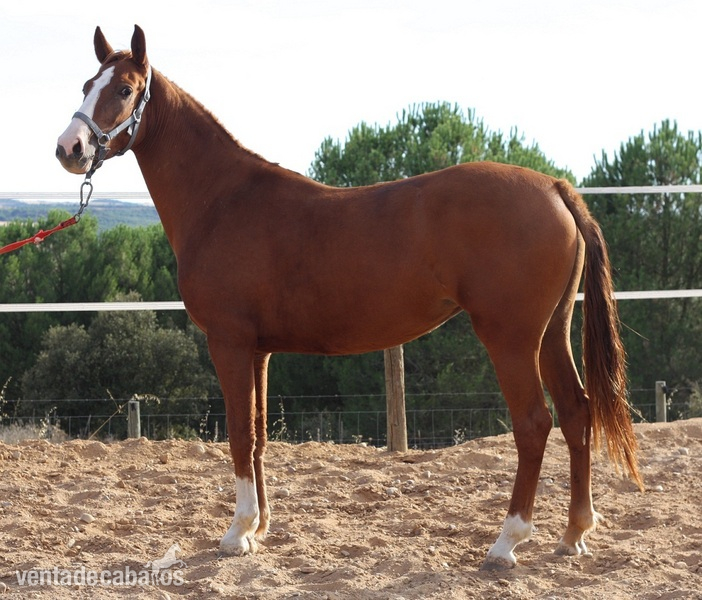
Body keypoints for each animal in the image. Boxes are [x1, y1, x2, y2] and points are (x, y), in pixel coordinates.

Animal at [56, 25, 643, 570]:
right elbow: (260, 434)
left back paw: (506, 542)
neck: (223, 200)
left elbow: (240, 433)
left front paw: (236, 532)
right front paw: (258, 528)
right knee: (576, 412)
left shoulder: (229, 343)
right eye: (86, 85)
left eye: (125, 89)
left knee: (534, 423)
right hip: (552, 333)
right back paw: (574, 532)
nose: (69, 148)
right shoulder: (259, 350)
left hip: (511, 338)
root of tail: (555, 188)